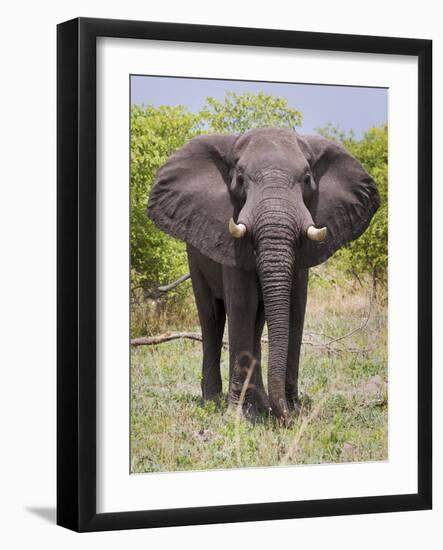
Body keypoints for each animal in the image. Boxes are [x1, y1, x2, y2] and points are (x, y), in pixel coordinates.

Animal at [147, 127, 380, 424]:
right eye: (240, 179)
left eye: (307, 179)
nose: (287, 420)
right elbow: (241, 305)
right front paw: (237, 416)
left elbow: (295, 308)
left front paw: (289, 409)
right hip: (194, 256)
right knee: (211, 317)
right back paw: (213, 401)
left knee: (257, 323)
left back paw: (259, 403)